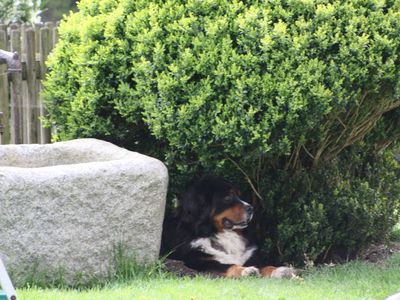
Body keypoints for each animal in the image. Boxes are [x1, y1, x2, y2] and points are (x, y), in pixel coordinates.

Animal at [161, 177, 296, 278]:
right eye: (228, 197)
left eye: (239, 196)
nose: (251, 208)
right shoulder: (198, 260)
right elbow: (229, 265)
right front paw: (246, 271)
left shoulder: (250, 259)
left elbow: (268, 267)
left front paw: (284, 272)